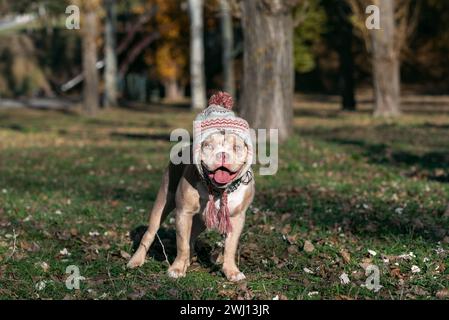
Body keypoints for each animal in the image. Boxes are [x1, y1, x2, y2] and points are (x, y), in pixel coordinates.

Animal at [128, 91, 254, 282]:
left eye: (236, 147)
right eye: (208, 145)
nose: (222, 154)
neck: (218, 190)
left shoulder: (236, 218)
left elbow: (230, 247)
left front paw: (231, 271)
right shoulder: (183, 213)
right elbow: (182, 244)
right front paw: (177, 269)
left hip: (201, 219)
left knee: (193, 235)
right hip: (163, 202)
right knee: (150, 233)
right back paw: (136, 261)